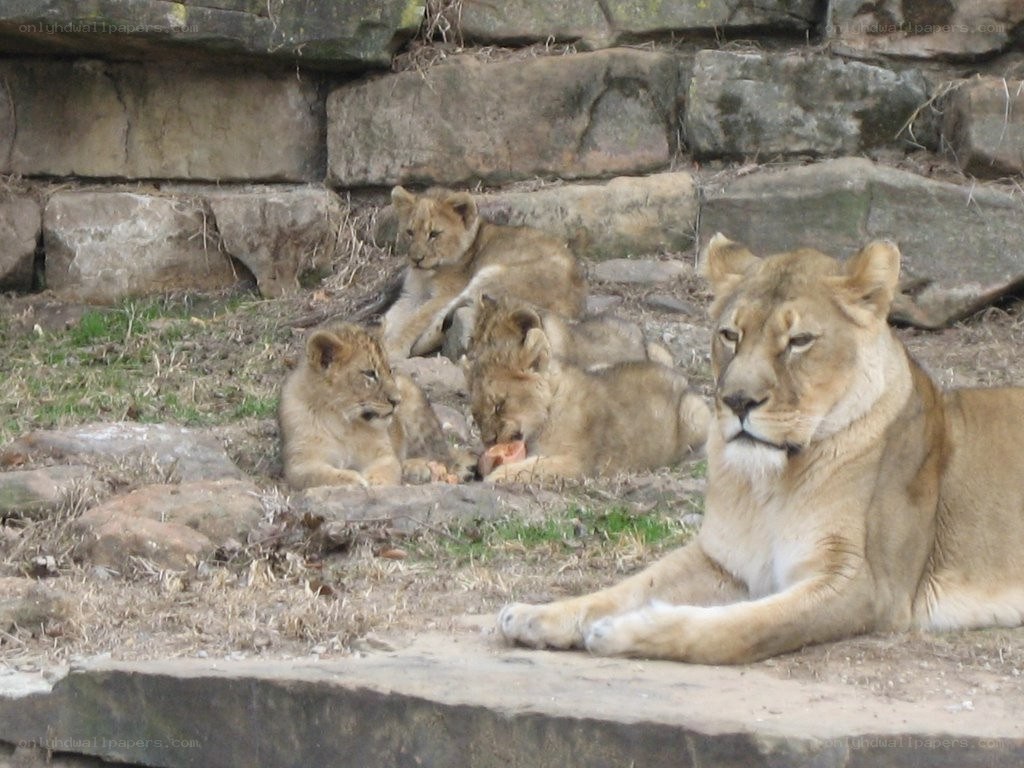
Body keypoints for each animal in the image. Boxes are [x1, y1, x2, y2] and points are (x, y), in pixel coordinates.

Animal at [279, 323, 457, 490]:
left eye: (389, 370)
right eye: (370, 373)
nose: (397, 400)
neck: (343, 422)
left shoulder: (383, 455)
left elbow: (387, 470)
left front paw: (375, 482)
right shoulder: (300, 463)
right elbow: (321, 475)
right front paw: (354, 480)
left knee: (441, 456)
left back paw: (416, 468)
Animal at [382, 186, 587, 359]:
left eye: (434, 234)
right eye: (409, 232)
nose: (416, 259)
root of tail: (572, 308)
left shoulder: (446, 293)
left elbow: (415, 320)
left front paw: (393, 348)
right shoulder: (411, 296)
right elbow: (390, 318)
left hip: (491, 275)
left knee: (447, 319)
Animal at [467, 313, 710, 483]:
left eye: (499, 405)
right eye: (475, 415)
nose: (489, 441)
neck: (551, 407)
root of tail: (683, 380)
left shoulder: (577, 463)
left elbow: (532, 467)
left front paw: (496, 475)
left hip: (693, 412)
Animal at [497, 233, 1024, 663]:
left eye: (799, 341)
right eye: (731, 334)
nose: (737, 401)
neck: (770, 483)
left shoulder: (865, 585)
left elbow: (739, 628)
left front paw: (623, 632)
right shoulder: (722, 560)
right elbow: (627, 587)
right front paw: (536, 615)